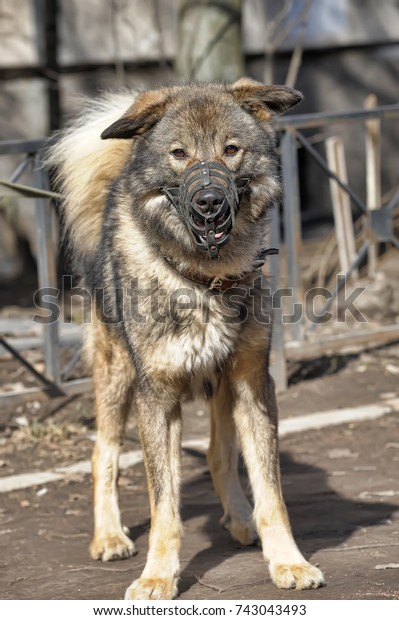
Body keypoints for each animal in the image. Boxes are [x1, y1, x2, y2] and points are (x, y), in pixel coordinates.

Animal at [48, 77, 326, 596]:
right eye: (179, 154)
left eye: (231, 150)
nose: (210, 202)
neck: (204, 280)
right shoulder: (156, 397)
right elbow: (164, 505)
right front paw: (158, 576)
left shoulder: (252, 384)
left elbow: (270, 492)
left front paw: (288, 561)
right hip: (116, 378)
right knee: (103, 454)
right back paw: (109, 535)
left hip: (222, 388)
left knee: (219, 457)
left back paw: (239, 520)